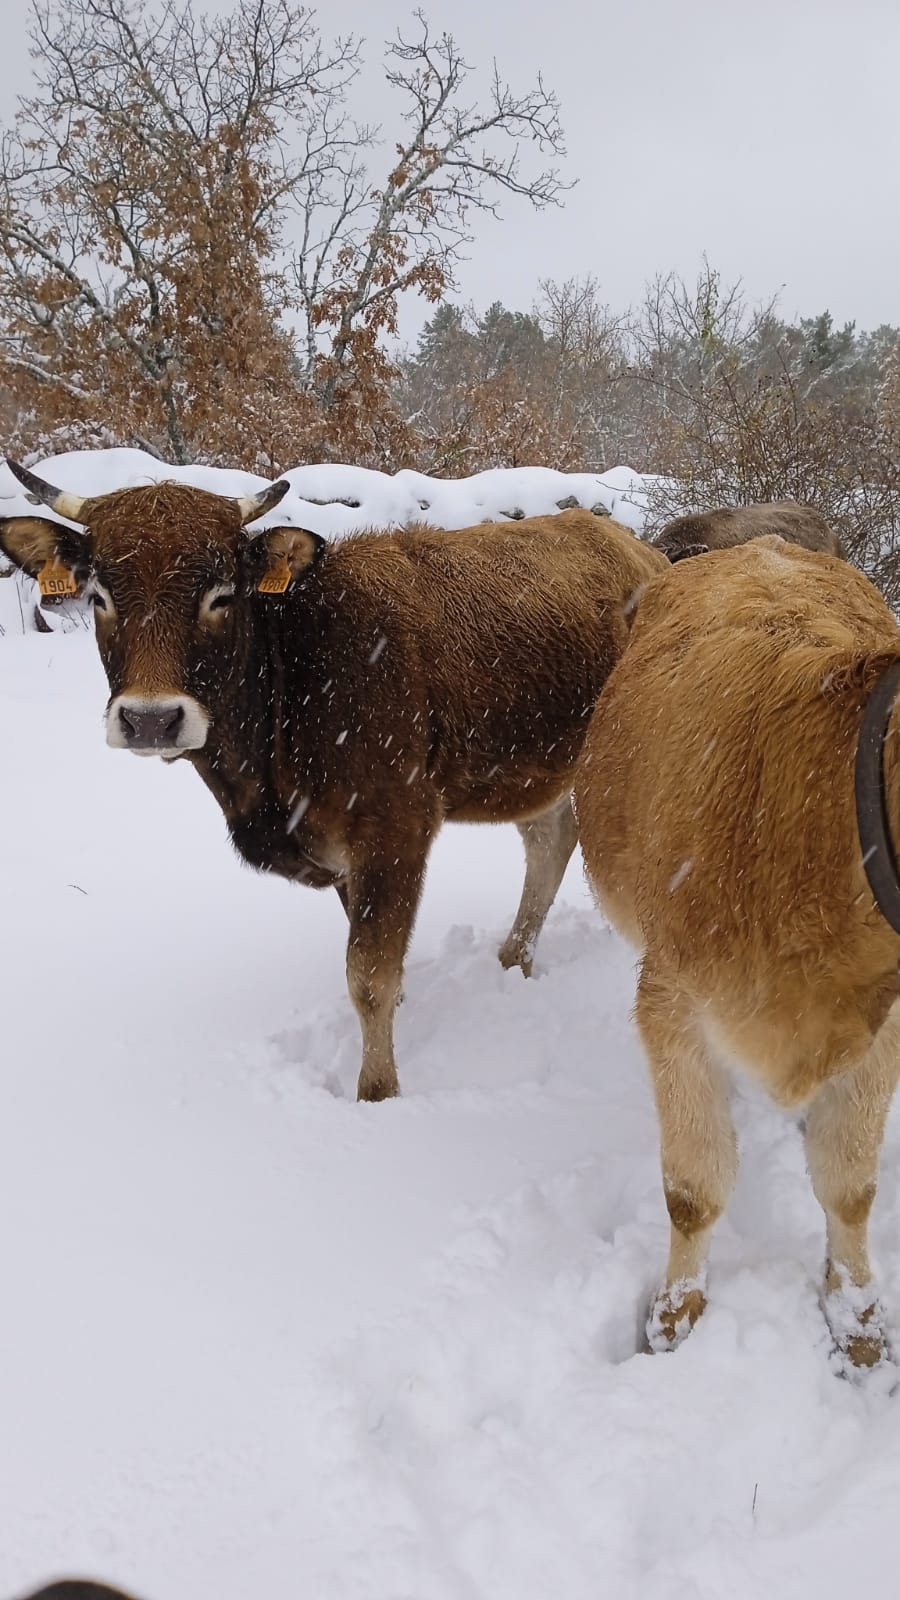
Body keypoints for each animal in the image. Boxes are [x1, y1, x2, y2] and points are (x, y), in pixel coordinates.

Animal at [1, 464, 666, 1100]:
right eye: (99, 593)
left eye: (222, 594)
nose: (150, 718)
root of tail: (637, 550)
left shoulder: (394, 830)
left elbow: (368, 975)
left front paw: (377, 1092)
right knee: (548, 844)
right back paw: (512, 960)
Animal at [570, 544, 896, 1369]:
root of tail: (764, 546)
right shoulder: (673, 1006)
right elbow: (693, 1189)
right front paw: (672, 1319)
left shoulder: (888, 1031)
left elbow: (850, 1185)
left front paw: (857, 1320)